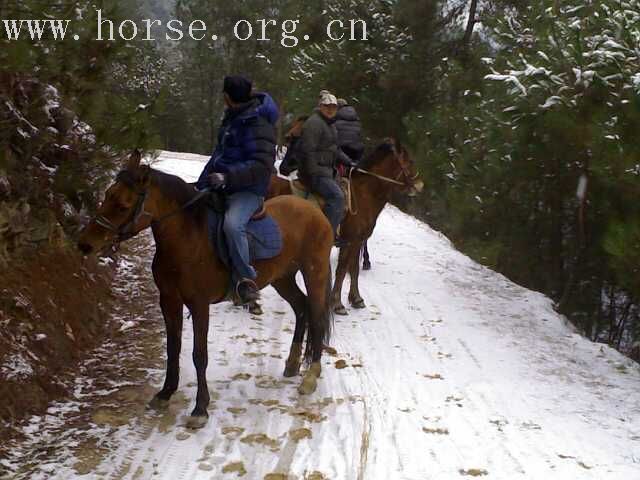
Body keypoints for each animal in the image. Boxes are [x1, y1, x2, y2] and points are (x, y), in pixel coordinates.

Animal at [77, 151, 332, 428]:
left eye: (123, 205)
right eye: (106, 195)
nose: (84, 245)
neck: (188, 238)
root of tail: (315, 211)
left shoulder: (199, 305)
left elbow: (199, 355)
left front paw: (200, 408)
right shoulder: (169, 300)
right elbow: (173, 348)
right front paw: (165, 393)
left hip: (315, 273)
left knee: (316, 317)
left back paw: (311, 375)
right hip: (282, 278)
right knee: (301, 307)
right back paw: (293, 364)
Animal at [268, 139, 422, 316]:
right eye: (410, 161)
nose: (420, 185)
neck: (363, 195)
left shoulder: (357, 241)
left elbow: (353, 269)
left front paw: (356, 298)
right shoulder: (350, 241)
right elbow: (342, 270)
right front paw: (337, 304)